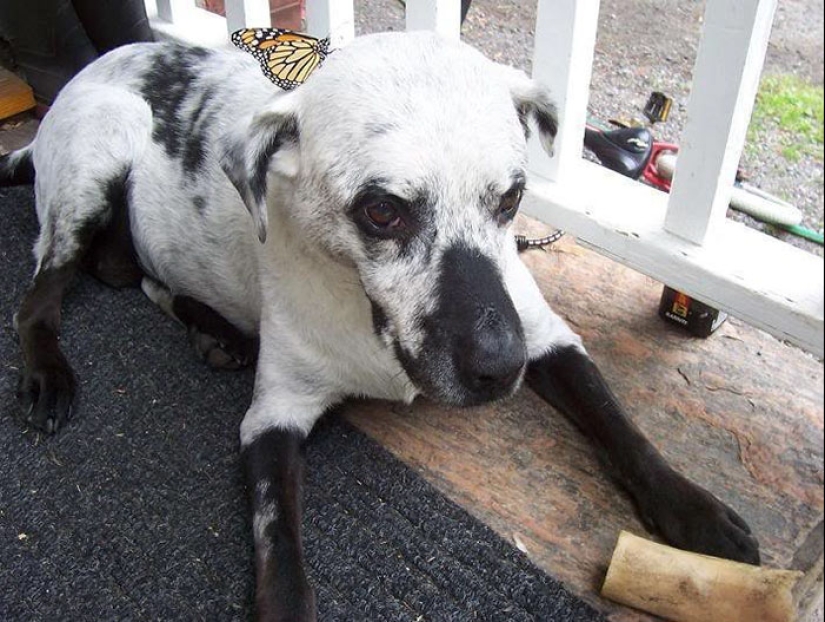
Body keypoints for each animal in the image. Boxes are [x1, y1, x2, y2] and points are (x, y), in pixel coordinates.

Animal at [1, 30, 760, 622]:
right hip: (92, 168)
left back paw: (214, 330)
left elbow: (617, 423)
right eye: (382, 211)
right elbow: (279, 545)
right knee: (41, 296)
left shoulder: (546, 336)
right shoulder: (272, 419)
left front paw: (692, 512)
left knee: (130, 273)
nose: (499, 366)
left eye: (511, 197)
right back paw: (49, 373)